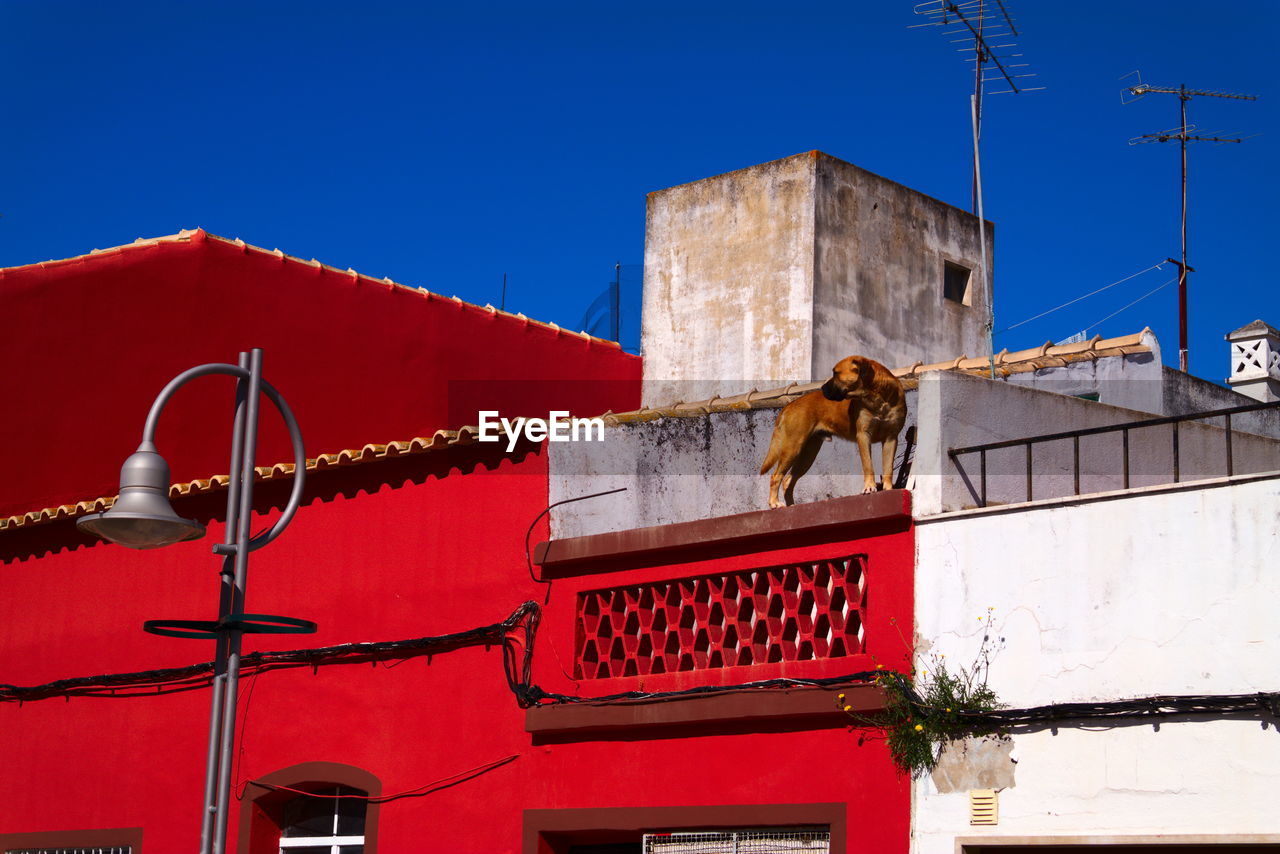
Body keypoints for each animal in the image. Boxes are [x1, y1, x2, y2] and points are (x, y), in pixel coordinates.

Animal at [762, 355, 906, 507]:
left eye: (836, 373)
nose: (822, 387)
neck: (879, 396)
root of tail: (789, 405)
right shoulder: (863, 435)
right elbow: (868, 465)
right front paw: (869, 487)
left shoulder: (891, 438)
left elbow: (888, 467)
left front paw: (889, 489)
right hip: (793, 447)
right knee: (776, 476)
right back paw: (774, 503)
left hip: (808, 453)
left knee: (788, 480)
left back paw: (791, 506)